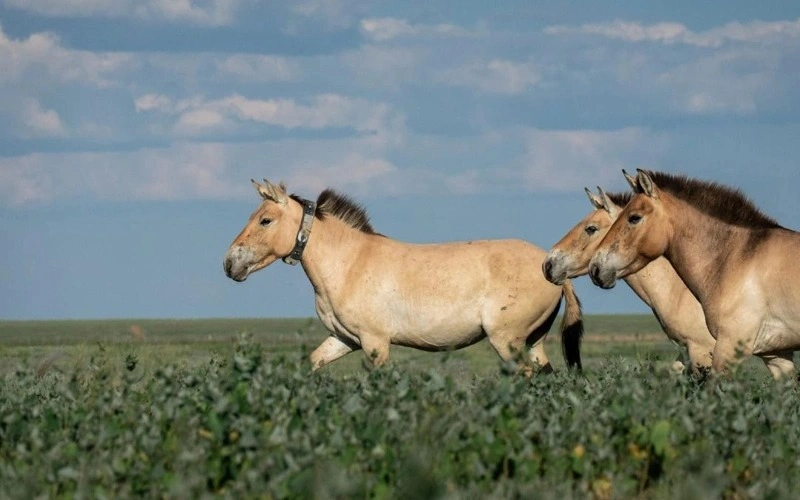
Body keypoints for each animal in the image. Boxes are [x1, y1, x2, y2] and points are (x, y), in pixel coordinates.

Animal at [223, 179, 584, 373]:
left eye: (265, 220)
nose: (229, 264)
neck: (349, 264)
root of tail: (550, 267)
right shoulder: (343, 339)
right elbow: (312, 363)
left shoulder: (375, 343)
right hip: (532, 341)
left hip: (507, 341)